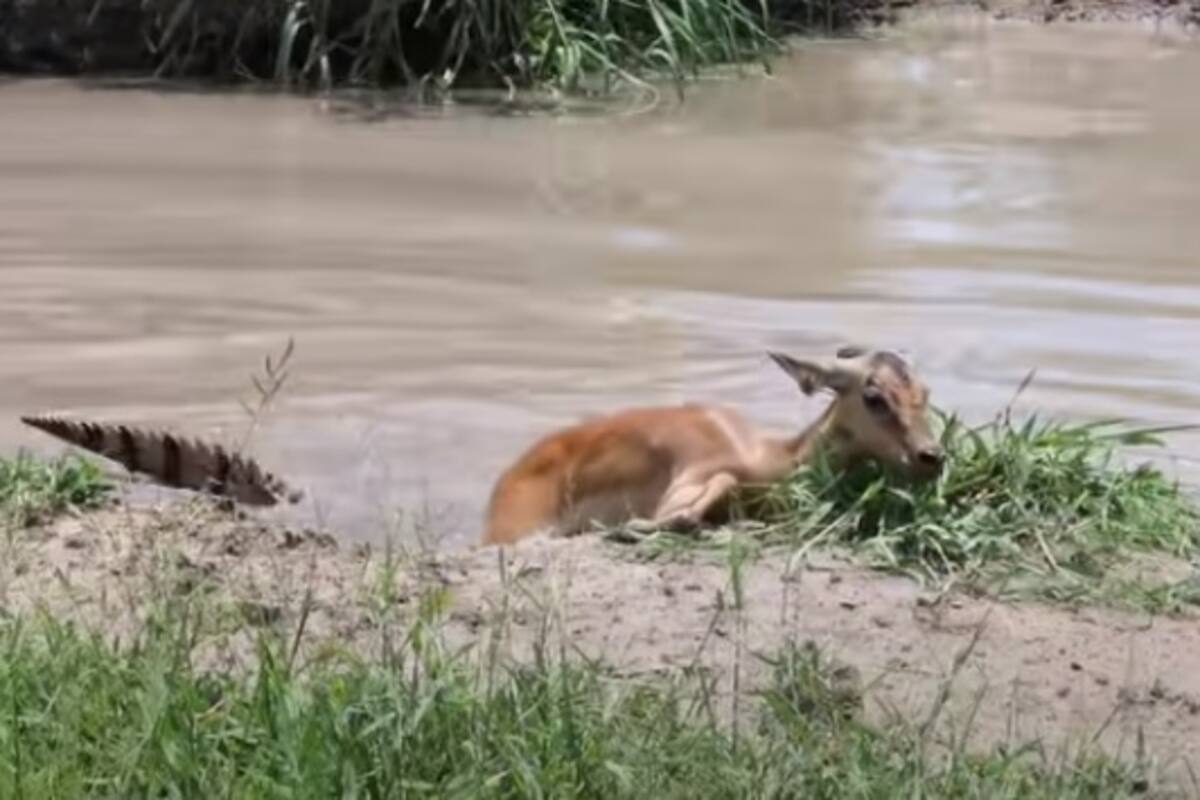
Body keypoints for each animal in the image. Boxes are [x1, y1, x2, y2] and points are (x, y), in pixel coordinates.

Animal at [481, 346, 944, 546]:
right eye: (874, 396)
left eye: (924, 392)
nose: (932, 456)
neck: (766, 457)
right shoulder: (694, 473)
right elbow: (695, 502)